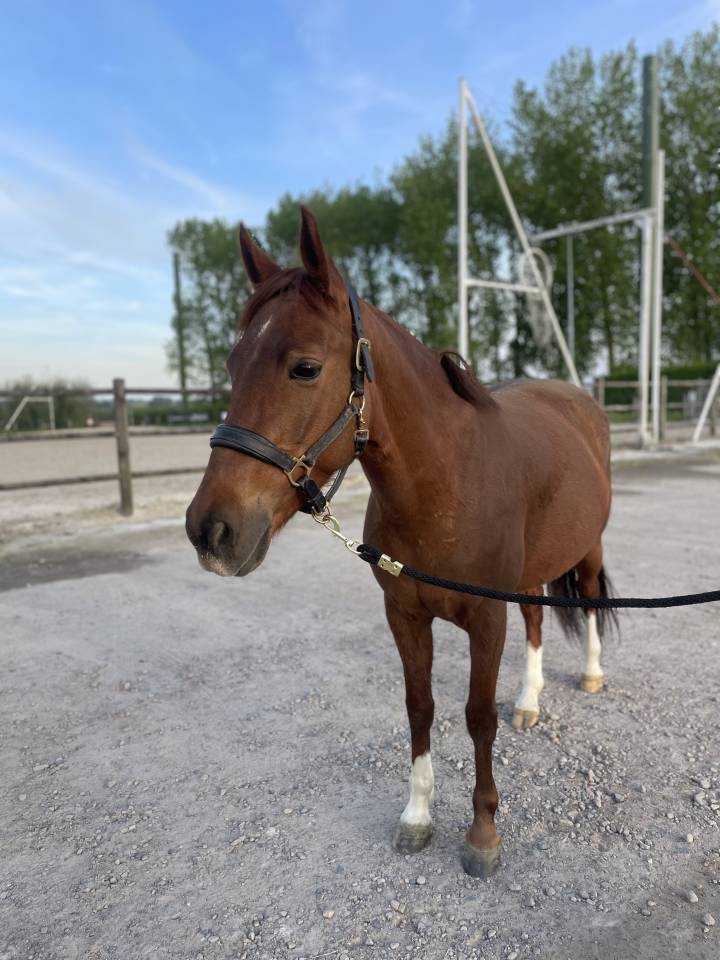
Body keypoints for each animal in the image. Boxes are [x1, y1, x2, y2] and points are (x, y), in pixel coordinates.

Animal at [185, 206, 615, 877]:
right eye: (232, 366)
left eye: (304, 367)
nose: (211, 530)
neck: (446, 483)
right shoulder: (405, 614)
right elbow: (420, 707)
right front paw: (416, 817)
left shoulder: (485, 618)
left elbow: (477, 716)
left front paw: (483, 834)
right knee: (538, 621)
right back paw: (530, 701)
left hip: (588, 546)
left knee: (590, 597)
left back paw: (591, 674)